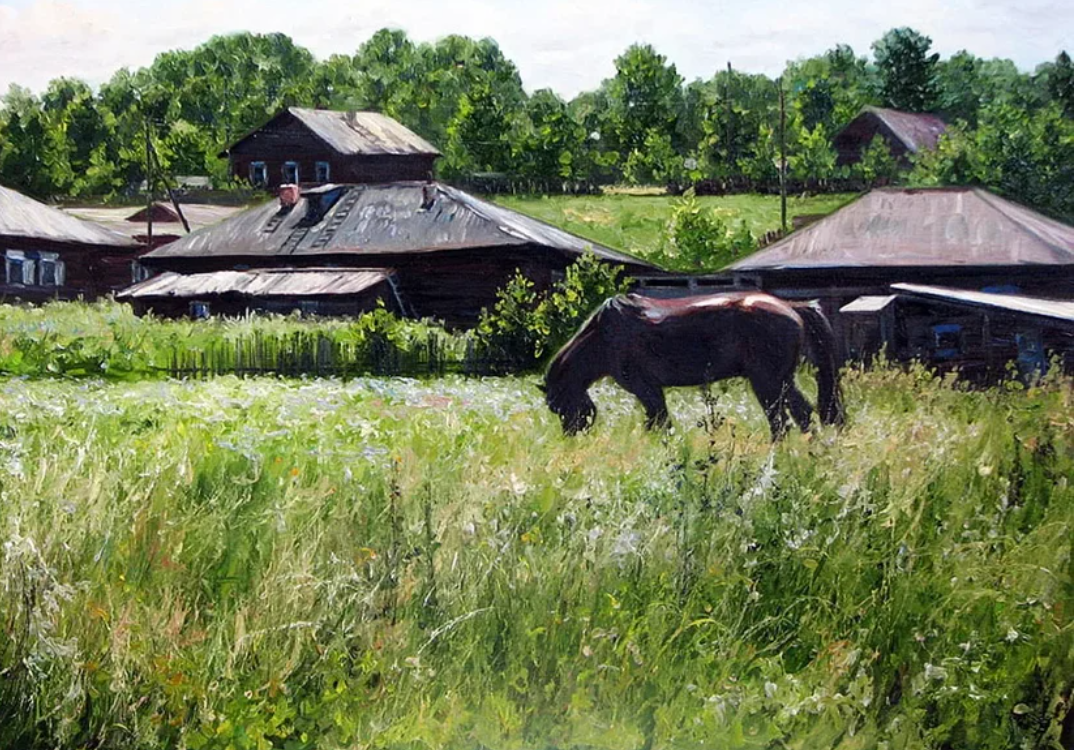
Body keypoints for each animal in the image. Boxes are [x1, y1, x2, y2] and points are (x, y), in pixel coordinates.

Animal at [545, 290, 846, 438]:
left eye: (559, 407)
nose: (573, 437)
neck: (605, 336)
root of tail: (792, 307)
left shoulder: (646, 389)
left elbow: (658, 422)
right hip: (781, 381)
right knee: (802, 414)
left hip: (767, 383)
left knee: (782, 421)